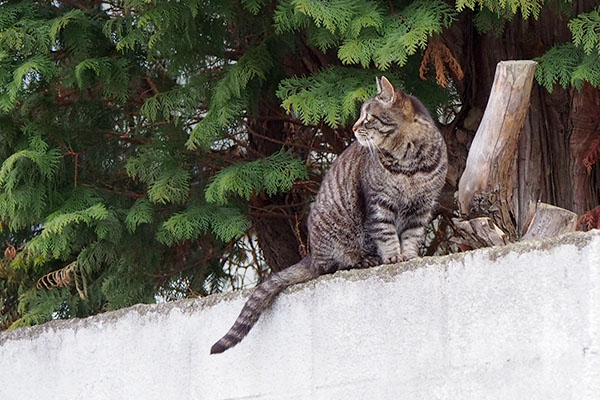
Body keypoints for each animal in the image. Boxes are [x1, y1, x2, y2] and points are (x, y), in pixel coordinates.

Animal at [210, 75, 446, 354]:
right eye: (360, 116)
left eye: (368, 118)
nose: (353, 128)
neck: (409, 161)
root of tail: (311, 255)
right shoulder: (379, 204)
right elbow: (386, 234)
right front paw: (392, 257)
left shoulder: (421, 207)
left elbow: (411, 236)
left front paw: (408, 256)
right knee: (332, 266)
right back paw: (363, 260)